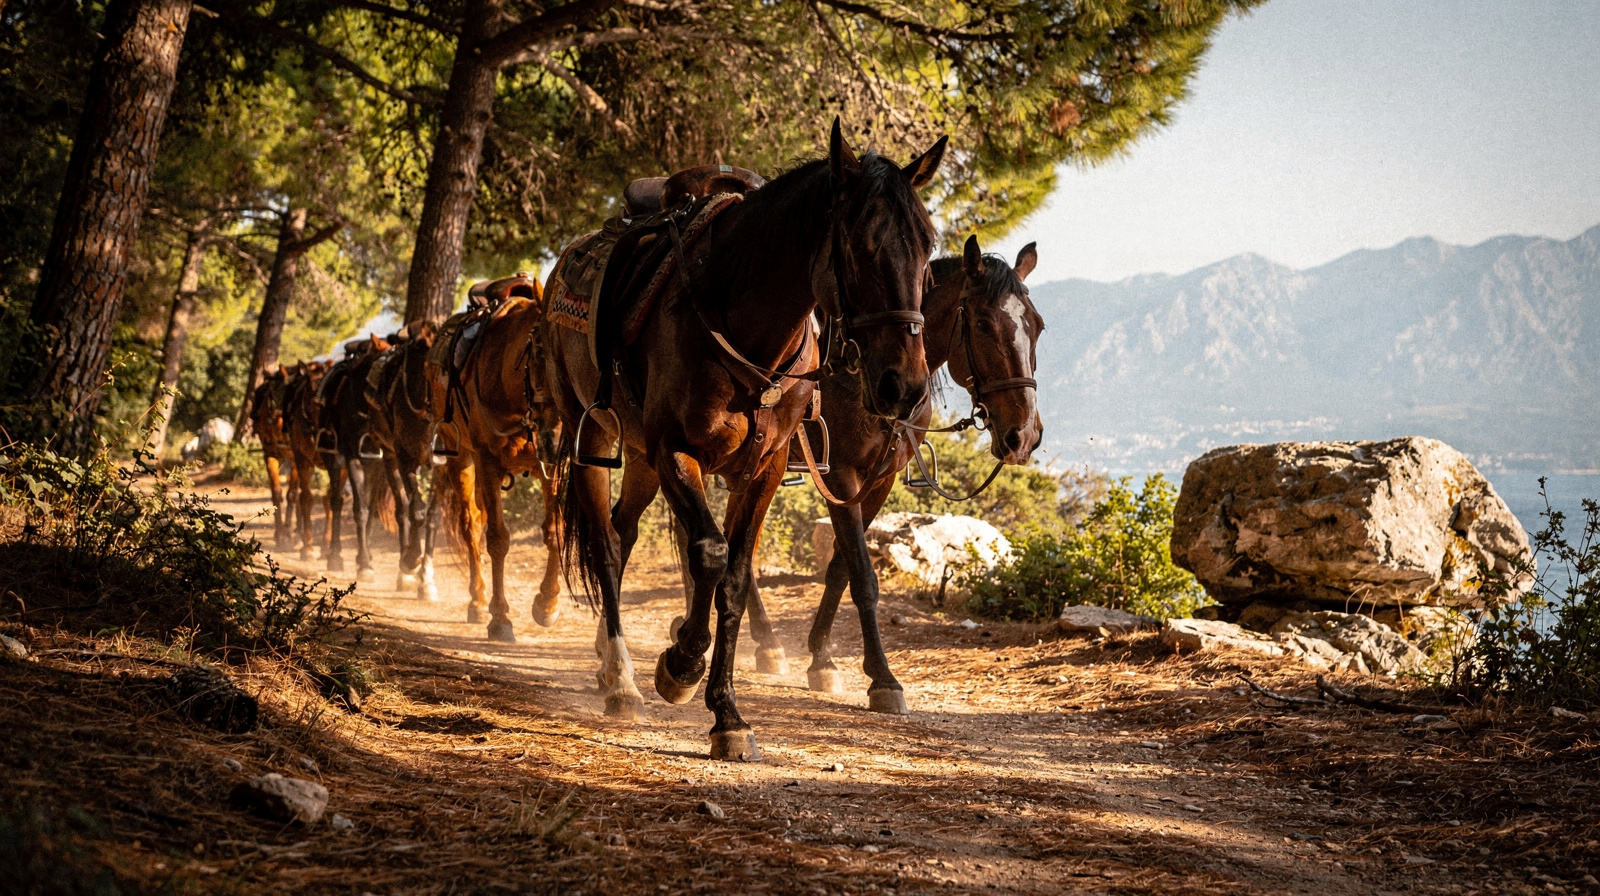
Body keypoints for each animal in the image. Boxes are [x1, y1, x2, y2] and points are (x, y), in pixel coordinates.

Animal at [248, 367, 297, 550]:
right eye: (271, 398)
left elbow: (292, 495)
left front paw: (288, 534)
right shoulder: (270, 454)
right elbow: (276, 492)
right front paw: (280, 535)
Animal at [364, 320, 442, 599]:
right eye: (419, 349)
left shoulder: (442, 465)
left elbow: (433, 516)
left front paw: (427, 579)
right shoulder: (404, 457)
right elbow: (415, 511)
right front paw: (411, 560)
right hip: (388, 456)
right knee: (402, 510)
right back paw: (404, 571)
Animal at [423, 274, 565, 639]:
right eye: (541, 351)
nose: (559, 436)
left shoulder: (552, 468)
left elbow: (554, 530)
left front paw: (547, 604)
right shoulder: (487, 462)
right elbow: (498, 539)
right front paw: (500, 618)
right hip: (461, 459)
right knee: (472, 526)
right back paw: (477, 600)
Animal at [542, 119, 946, 760]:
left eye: (928, 246)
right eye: (860, 244)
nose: (903, 384)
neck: (744, 319)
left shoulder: (764, 469)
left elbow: (732, 576)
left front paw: (726, 713)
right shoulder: (676, 450)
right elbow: (708, 555)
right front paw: (680, 664)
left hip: (641, 461)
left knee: (625, 535)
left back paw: (616, 662)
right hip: (594, 439)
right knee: (605, 546)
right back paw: (622, 680)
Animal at [741, 235, 1044, 713]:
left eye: (1039, 327)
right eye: (981, 324)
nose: (1025, 434)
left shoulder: (879, 480)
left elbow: (840, 568)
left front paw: (822, 659)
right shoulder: (840, 476)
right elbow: (863, 575)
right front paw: (882, 678)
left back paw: (765, 642)